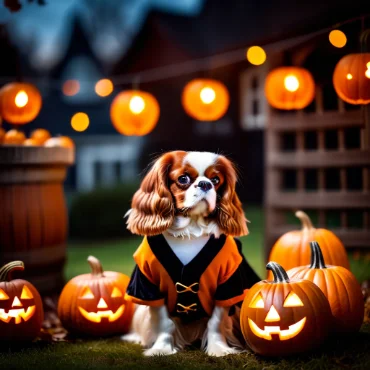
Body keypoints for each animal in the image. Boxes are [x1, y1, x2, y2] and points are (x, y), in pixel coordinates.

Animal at [122, 150, 260, 356]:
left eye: (216, 180)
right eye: (183, 179)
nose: (205, 184)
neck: (191, 229)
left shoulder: (227, 284)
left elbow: (216, 322)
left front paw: (218, 350)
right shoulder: (149, 284)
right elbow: (164, 322)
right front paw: (161, 349)